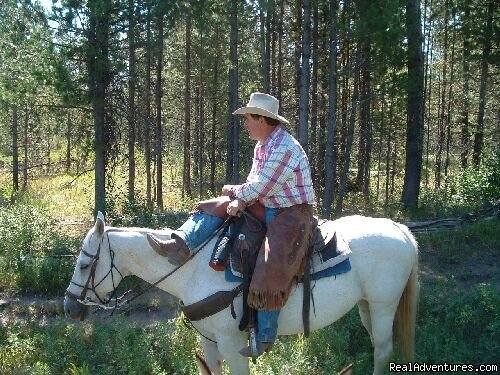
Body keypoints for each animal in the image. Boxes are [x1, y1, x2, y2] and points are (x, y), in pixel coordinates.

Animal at [65, 213, 418, 374]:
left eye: (83, 264)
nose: (70, 308)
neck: (193, 269)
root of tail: (401, 230)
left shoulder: (232, 344)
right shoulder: (209, 341)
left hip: (384, 305)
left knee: (383, 350)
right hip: (366, 306)